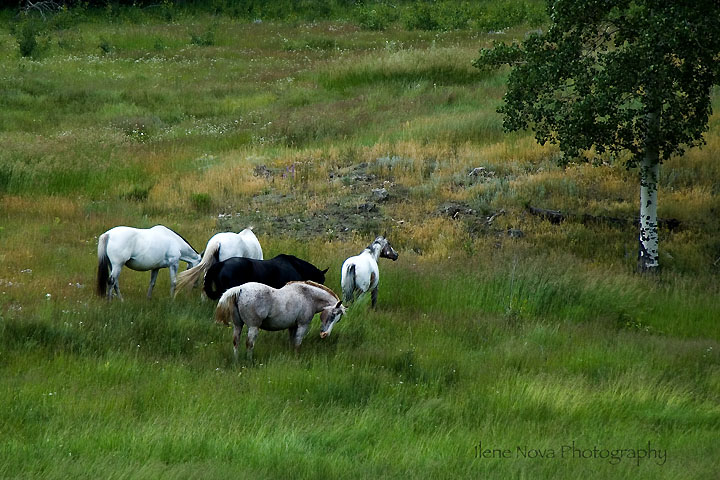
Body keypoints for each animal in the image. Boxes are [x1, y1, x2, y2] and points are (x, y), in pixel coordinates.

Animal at [212, 280, 344, 358]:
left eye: (338, 319)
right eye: (333, 315)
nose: (325, 334)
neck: (307, 295)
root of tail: (240, 289)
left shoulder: (292, 327)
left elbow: (292, 342)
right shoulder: (302, 325)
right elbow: (297, 343)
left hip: (238, 325)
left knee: (236, 342)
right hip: (254, 327)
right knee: (249, 344)